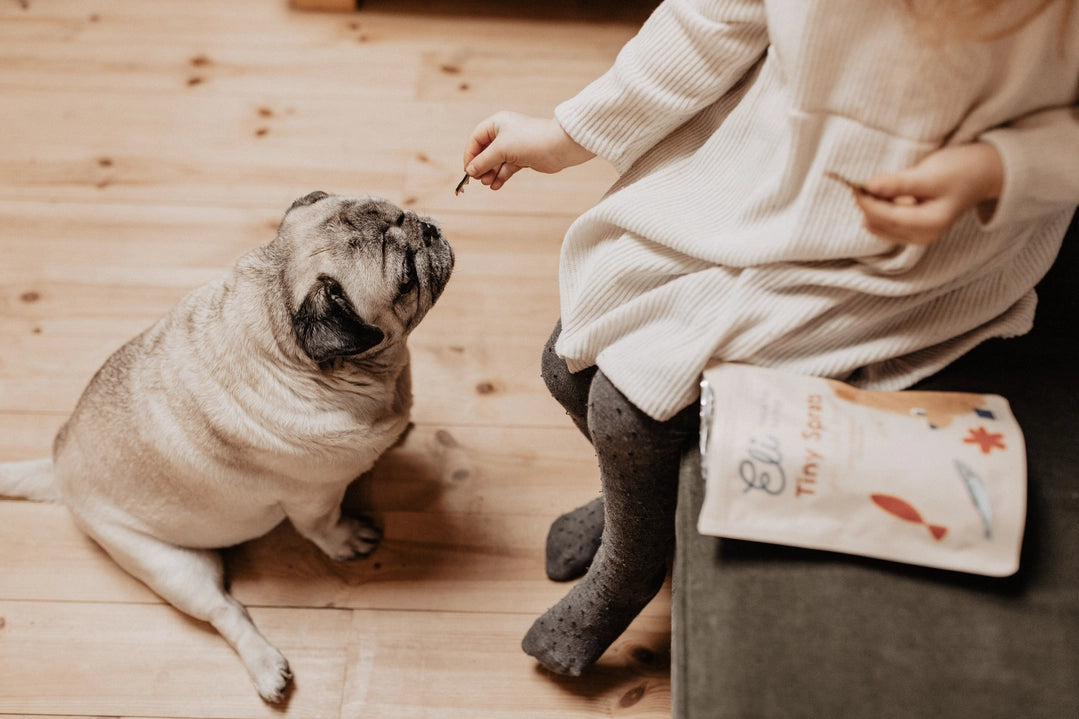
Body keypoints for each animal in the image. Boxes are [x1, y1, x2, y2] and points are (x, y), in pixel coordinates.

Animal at [0, 190, 453, 699]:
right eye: (406, 278)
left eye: (400, 211)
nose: (428, 229)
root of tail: (59, 460)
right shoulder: (312, 499)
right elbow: (322, 528)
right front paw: (346, 539)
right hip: (168, 566)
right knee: (224, 611)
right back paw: (264, 663)